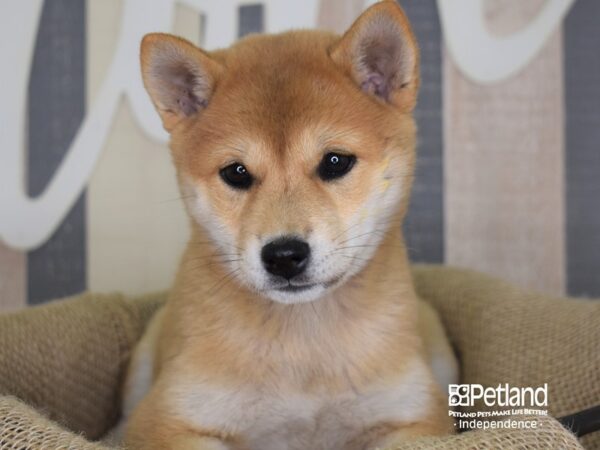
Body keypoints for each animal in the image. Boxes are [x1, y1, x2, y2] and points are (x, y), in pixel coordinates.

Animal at [124, 1, 458, 448]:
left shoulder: (415, 415)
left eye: (335, 161)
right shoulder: (165, 418)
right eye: (236, 172)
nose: (284, 255)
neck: (304, 346)